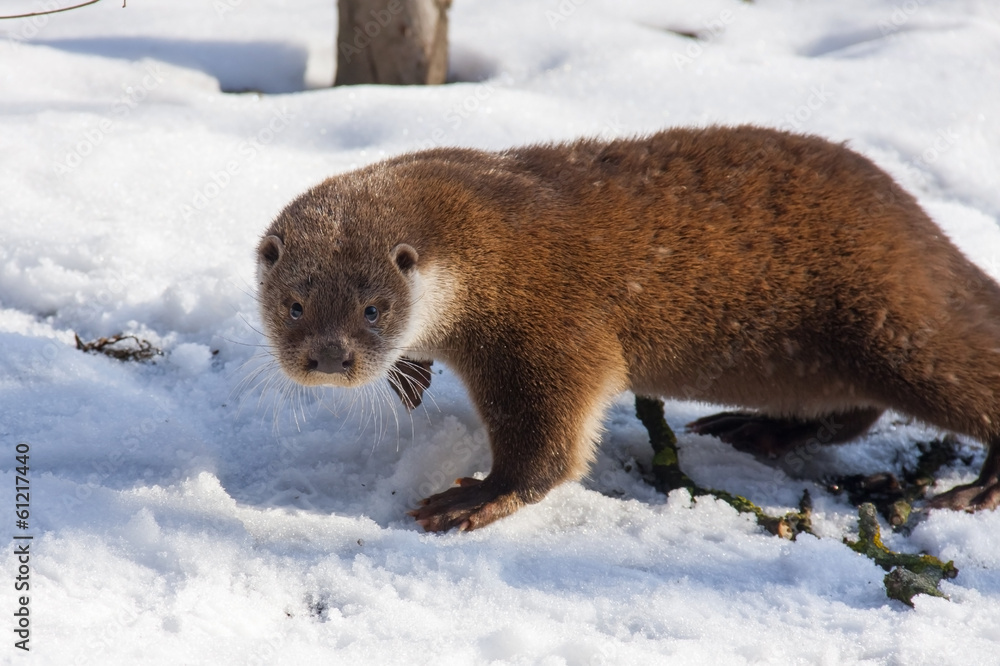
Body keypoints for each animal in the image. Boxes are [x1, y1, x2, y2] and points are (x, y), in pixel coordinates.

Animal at [256, 125, 1000, 532]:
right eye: (294, 305)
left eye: (373, 308)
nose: (330, 357)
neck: (480, 247)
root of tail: (922, 226)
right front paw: (412, 377)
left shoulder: (546, 327)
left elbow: (551, 440)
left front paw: (480, 497)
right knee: (854, 413)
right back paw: (754, 428)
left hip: (899, 321)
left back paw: (979, 489)